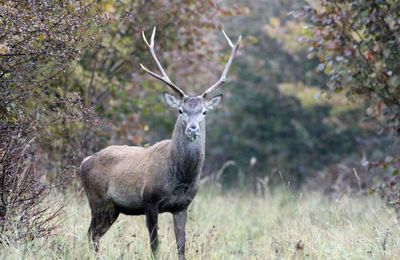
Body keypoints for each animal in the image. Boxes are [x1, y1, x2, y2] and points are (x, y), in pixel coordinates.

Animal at [79, 27, 239, 258]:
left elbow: (182, 246)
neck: (180, 178)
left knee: (94, 236)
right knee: (91, 234)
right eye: (180, 110)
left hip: (113, 208)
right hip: (98, 199)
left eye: (204, 112)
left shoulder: (182, 206)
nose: (193, 128)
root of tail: (84, 162)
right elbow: (155, 245)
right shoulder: (150, 201)